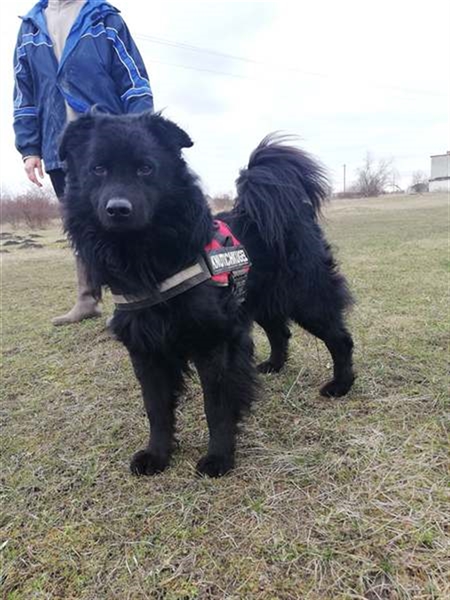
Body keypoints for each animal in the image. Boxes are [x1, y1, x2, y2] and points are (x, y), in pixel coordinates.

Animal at [60, 112, 354, 477]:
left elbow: (216, 405)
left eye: (146, 169)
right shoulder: (145, 348)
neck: (145, 257)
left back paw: (341, 385)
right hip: (256, 301)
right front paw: (156, 455)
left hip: (306, 298)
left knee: (339, 338)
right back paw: (273, 365)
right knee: (279, 331)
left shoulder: (214, 341)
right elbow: (156, 408)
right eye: (98, 169)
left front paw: (219, 457)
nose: (118, 209)